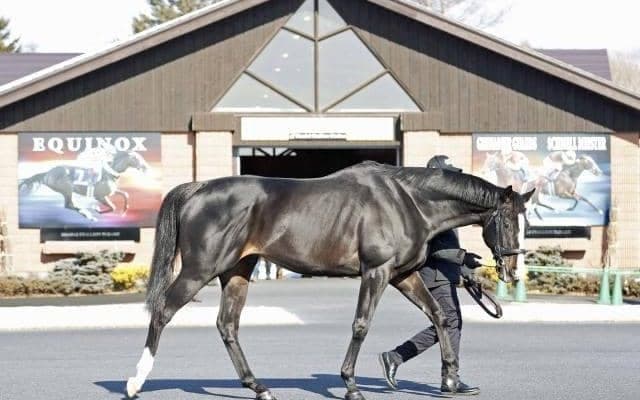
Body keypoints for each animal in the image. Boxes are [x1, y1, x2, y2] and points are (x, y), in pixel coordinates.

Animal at [19, 150, 149, 221]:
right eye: (136, 158)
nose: (146, 168)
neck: (108, 173)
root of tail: (47, 173)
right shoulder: (99, 196)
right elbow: (112, 207)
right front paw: (97, 210)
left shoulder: (111, 192)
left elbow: (125, 194)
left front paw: (124, 210)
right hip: (67, 190)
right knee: (68, 205)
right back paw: (88, 215)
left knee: (70, 205)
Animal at [125, 161, 533, 400]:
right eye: (507, 220)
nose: (512, 272)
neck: (408, 201)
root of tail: (198, 188)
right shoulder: (377, 272)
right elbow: (361, 324)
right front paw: (351, 386)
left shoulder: (403, 275)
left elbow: (439, 316)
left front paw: (450, 381)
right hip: (199, 269)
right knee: (162, 311)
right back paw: (135, 382)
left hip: (237, 271)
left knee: (227, 326)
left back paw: (259, 387)